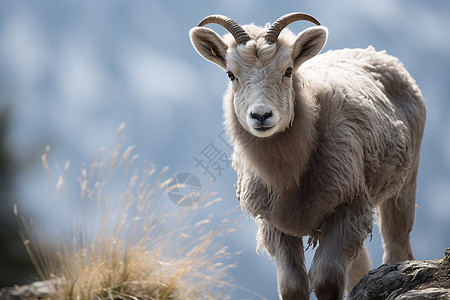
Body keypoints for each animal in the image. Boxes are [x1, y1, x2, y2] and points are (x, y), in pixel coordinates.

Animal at [189, 12, 426, 298]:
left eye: (288, 71)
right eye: (231, 74)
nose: (261, 115)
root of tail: (376, 53)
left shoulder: (349, 206)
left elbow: (326, 280)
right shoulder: (273, 223)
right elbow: (292, 285)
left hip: (404, 182)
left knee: (397, 246)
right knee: (360, 264)